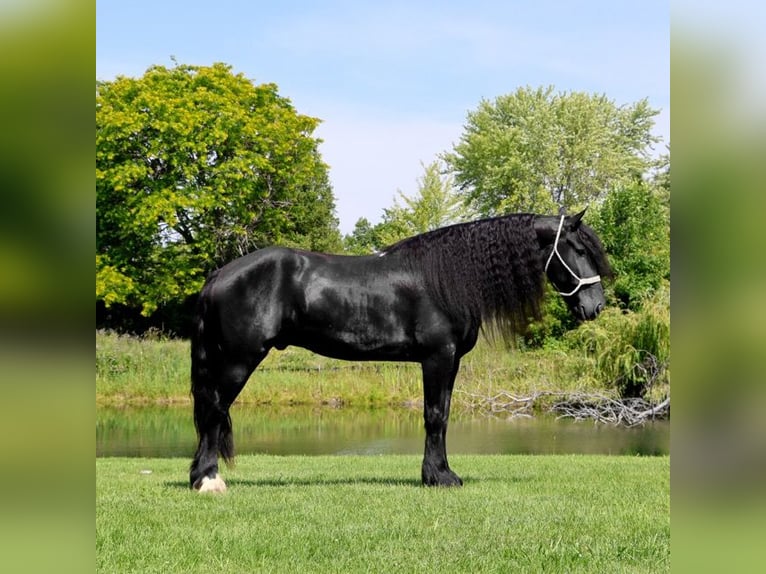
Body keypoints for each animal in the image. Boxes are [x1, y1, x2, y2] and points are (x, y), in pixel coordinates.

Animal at [189, 210, 612, 492]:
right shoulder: (437, 358)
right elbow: (434, 416)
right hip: (238, 360)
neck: (448, 278)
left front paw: (439, 474)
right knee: (214, 411)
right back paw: (208, 480)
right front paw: (439, 477)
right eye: (577, 248)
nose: (596, 307)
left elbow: (442, 415)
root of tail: (220, 275)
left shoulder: (450, 362)